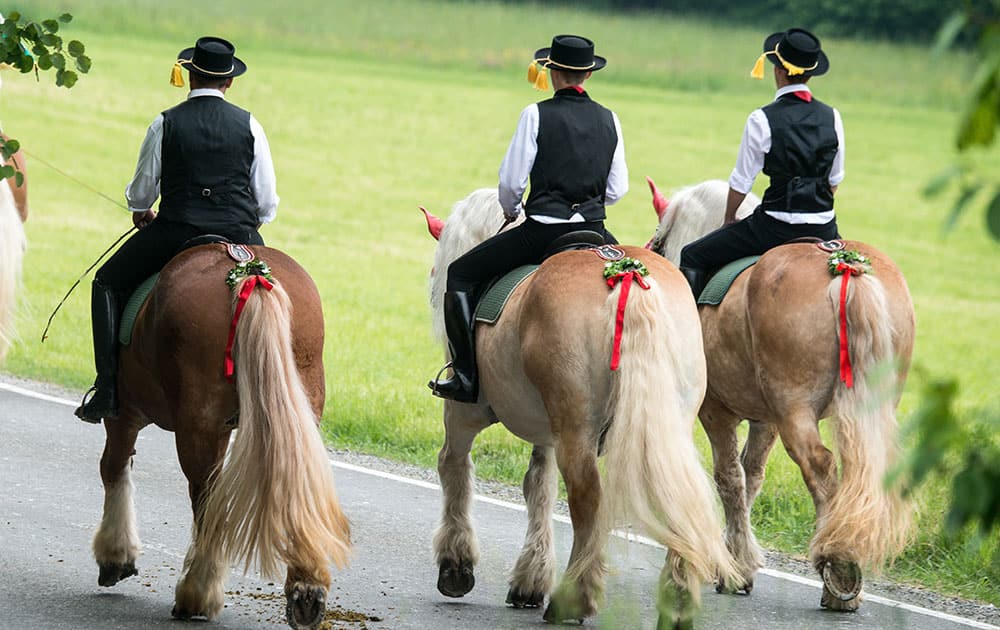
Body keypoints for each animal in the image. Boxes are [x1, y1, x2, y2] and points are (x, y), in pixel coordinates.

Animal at [90, 244, 354, 628]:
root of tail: (249, 271)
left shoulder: (125, 415)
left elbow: (113, 468)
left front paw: (116, 556)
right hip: (297, 414)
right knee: (296, 486)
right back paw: (307, 590)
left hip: (197, 428)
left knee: (205, 499)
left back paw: (196, 594)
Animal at [418, 191, 740, 630]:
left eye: (439, 269)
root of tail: (627, 274)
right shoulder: (546, 432)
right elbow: (538, 484)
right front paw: (531, 578)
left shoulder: (464, 413)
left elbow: (455, 466)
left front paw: (457, 564)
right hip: (663, 426)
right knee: (678, 497)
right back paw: (677, 602)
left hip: (576, 429)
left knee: (589, 500)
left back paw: (574, 598)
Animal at [644, 180, 916, 616]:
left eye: (658, 242)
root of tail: (847, 267)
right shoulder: (765, 419)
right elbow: (750, 478)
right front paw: (736, 562)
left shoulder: (715, 412)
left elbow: (729, 479)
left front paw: (716, 565)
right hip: (863, 411)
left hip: (795, 411)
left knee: (821, 468)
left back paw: (839, 567)